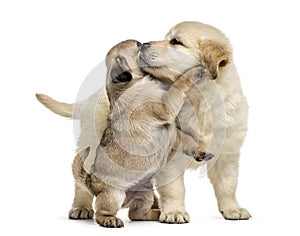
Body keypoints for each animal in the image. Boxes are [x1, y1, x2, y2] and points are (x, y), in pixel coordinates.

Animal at [138, 20, 251, 221]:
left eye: (175, 41)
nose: (142, 44)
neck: (199, 100)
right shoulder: (170, 157)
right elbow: (174, 188)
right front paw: (174, 212)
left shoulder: (227, 153)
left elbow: (228, 185)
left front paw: (233, 209)